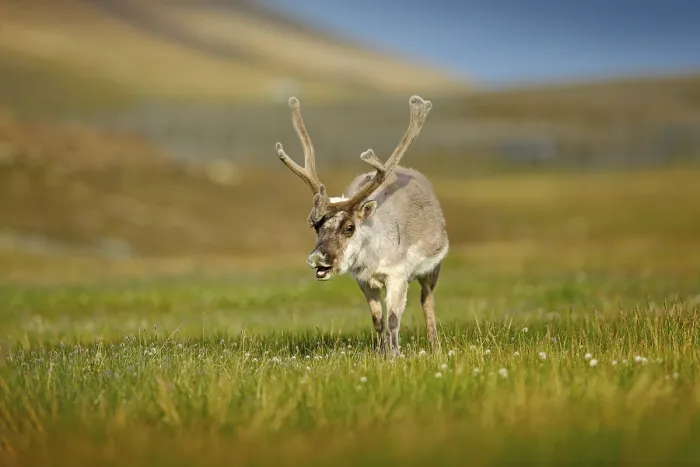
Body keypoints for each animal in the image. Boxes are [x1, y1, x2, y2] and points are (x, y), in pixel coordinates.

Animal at [275, 95, 449, 357]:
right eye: (316, 227)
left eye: (349, 227)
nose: (317, 258)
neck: (371, 256)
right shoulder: (364, 281)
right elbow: (377, 319)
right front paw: (381, 353)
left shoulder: (397, 275)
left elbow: (393, 319)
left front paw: (395, 355)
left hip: (432, 269)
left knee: (427, 301)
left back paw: (435, 346)